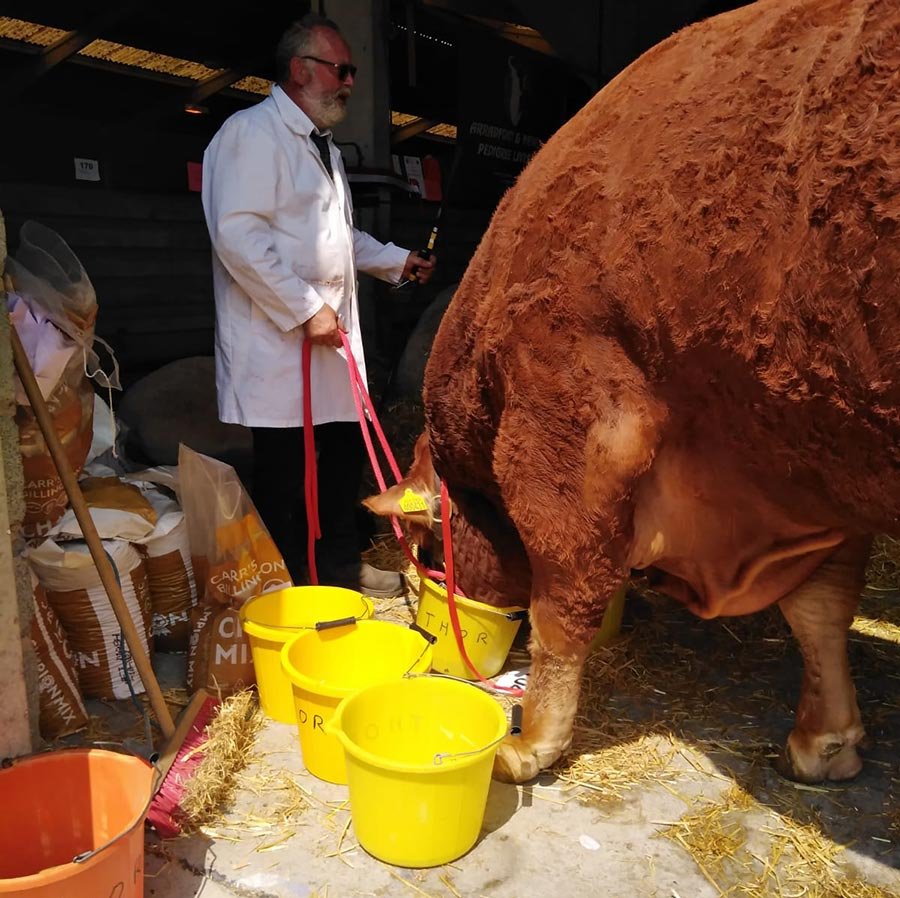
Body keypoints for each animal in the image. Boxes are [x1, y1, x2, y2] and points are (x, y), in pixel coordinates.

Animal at [366, 0, 900, 784]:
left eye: (431, 550)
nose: (422, 620)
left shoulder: (571, 432)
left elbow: (560, 604)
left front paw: (529, 744)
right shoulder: (815, 485)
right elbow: (822, 608)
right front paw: (824, 740)